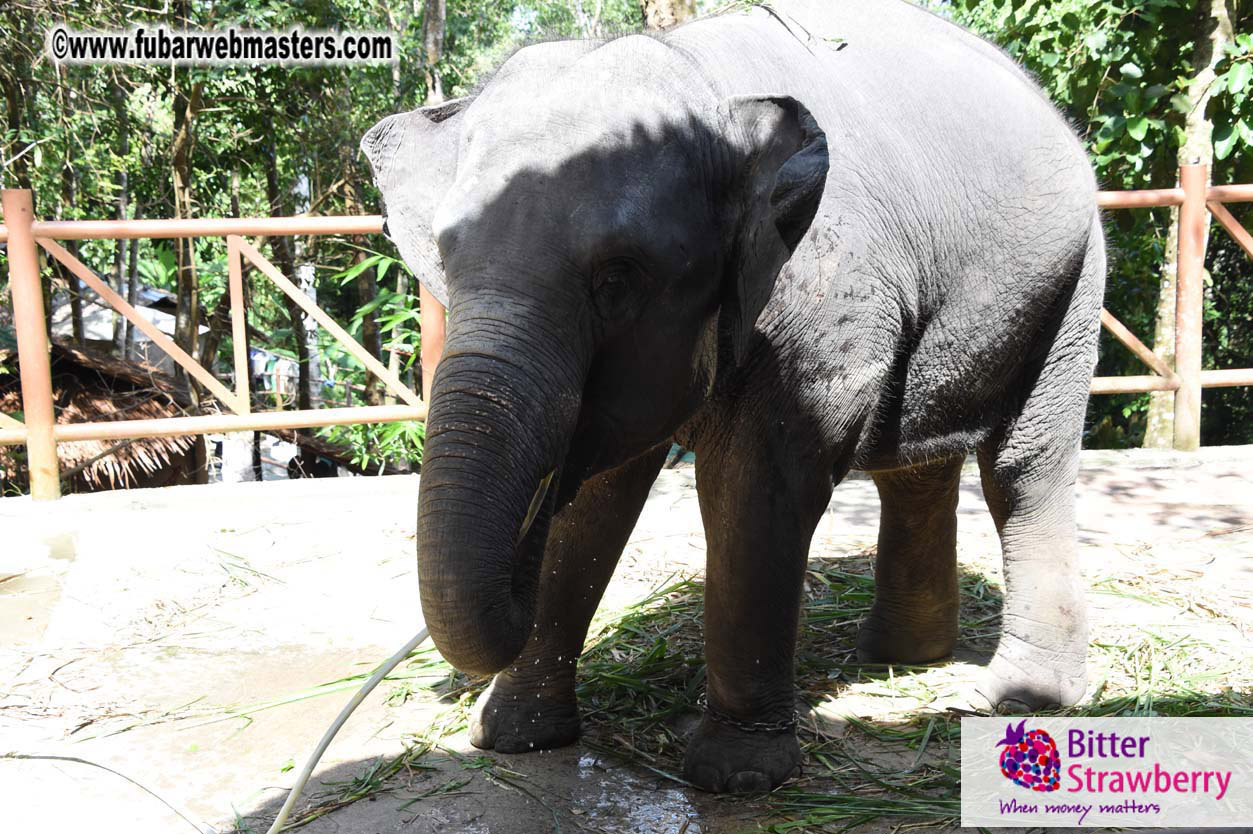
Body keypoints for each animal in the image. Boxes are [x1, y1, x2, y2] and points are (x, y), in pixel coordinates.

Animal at [362, 0, 1103, 794]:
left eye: (617, 278)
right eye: (443, 258)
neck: (705, 85)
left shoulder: (822, 297)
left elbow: (755, 483)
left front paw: (737, 776)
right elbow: (595, 504)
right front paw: (511, 739)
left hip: (1073, 278)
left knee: (1022, 469)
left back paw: (1015, 700)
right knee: (914, 466)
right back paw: (896, 657)